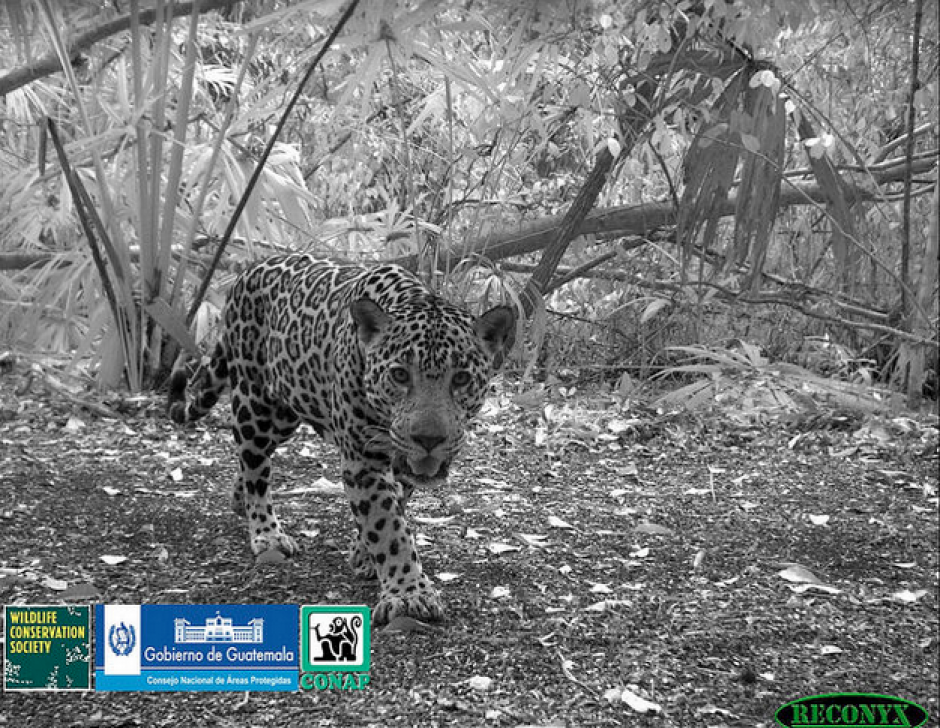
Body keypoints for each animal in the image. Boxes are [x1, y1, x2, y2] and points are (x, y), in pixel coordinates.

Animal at [168, 254, 514, 623]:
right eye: (399, 375)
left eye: (461, 378)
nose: (428, 439)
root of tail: (249, 270)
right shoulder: (363, 460)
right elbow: (388, 525)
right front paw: (408, 594)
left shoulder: (399, 461)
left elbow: (393, 505)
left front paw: (364, 556)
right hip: (254, 402)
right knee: (255, 464)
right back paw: (266, 533)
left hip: (287, 411)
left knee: (253, 460)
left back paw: (239, 502)